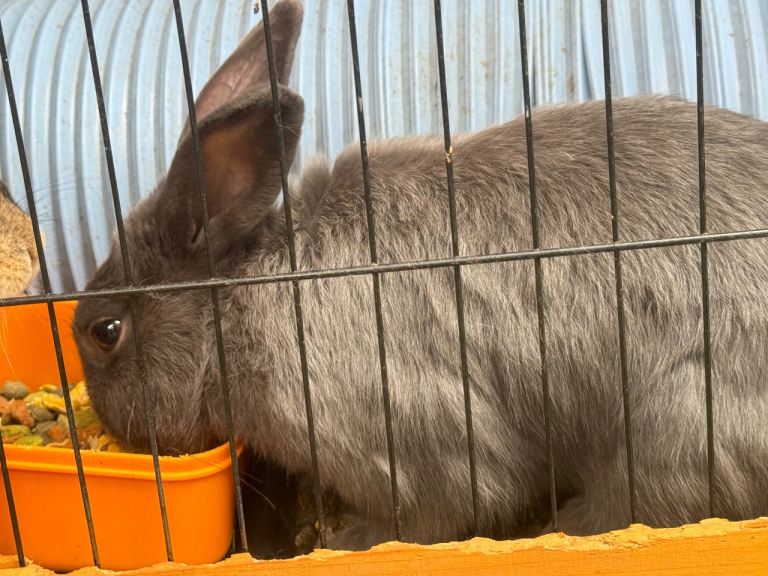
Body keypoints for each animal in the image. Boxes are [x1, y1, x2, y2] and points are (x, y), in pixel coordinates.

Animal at [73, 0, 768, 552]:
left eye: (106, 331)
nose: (108, 423)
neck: (240, 304)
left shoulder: (405, 443)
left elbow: (438, 512)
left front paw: (343, 543)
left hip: (670, 428)